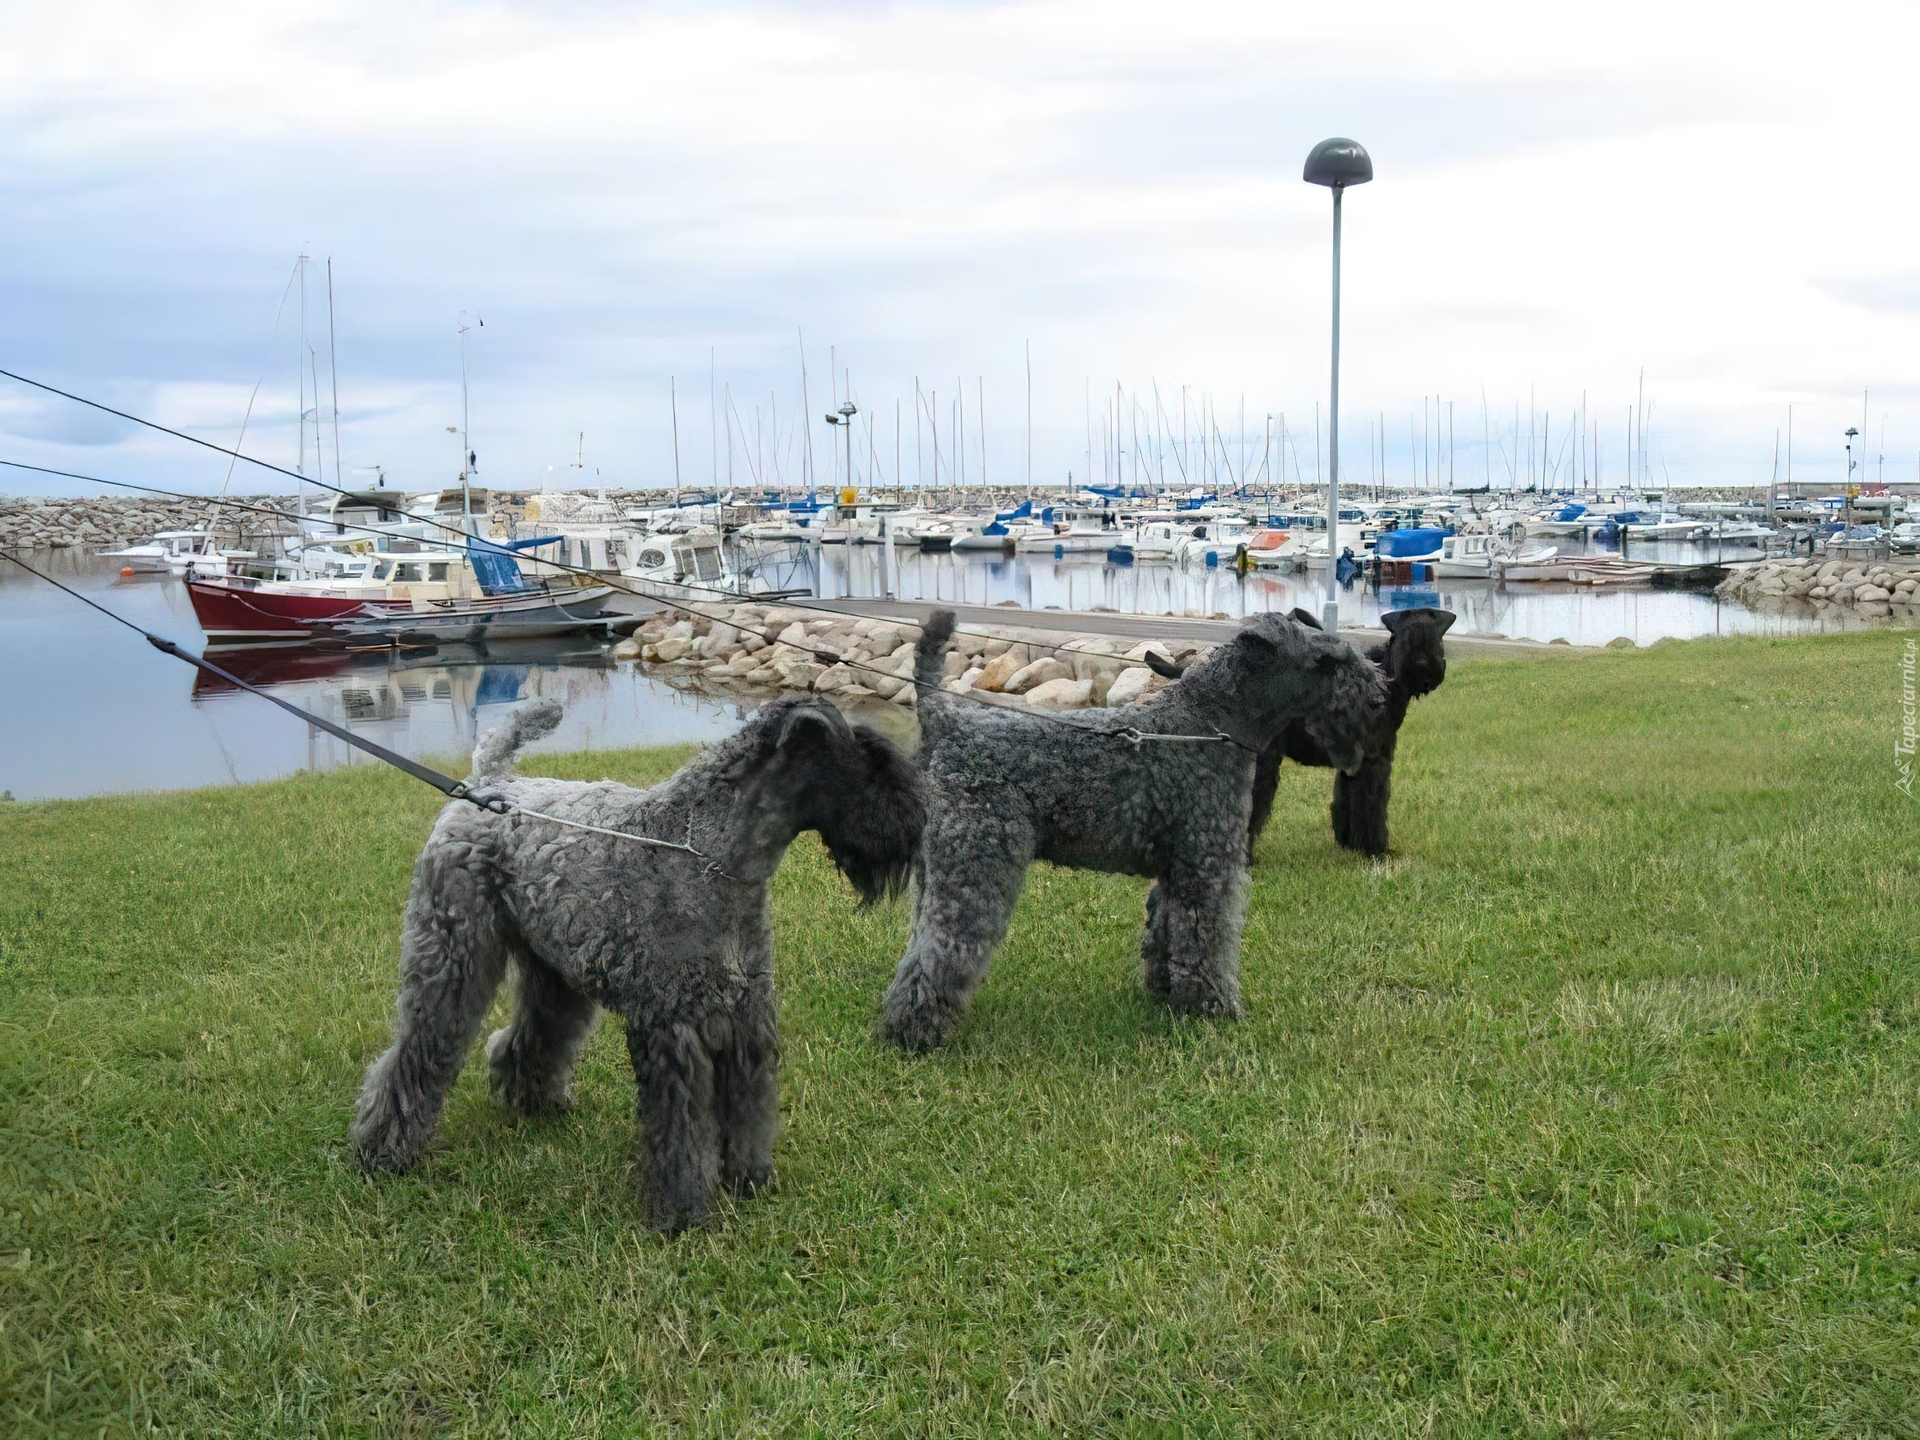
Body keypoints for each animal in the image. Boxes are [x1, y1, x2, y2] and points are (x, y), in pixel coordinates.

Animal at [360, 695, 929, 1228]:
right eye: (871, 765)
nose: (918, 828)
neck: (711, 852)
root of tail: (487, 788)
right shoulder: (672, 1026)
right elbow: (680, 1126)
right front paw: (683, 1210)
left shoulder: (746, 1016)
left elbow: (748, 1106)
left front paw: (748, 1178)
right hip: (452, 960)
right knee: (415, 1052)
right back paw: (384, 1149)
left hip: (555, 973)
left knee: (534, 1033)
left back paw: (537, 1102)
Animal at [879, 610, 1390, 1052]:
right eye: (1328, 661)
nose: (1380, 695)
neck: (1208, 723)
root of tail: (944, 719)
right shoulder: (1209, 867)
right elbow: (1208, 941)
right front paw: (1217, 1008)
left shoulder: (1177, 868)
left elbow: (1166, 932)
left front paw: (1167, 995)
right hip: (976, 866)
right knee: (943, 949)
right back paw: (916, 1032)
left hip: (937, 869)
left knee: (919, 943)